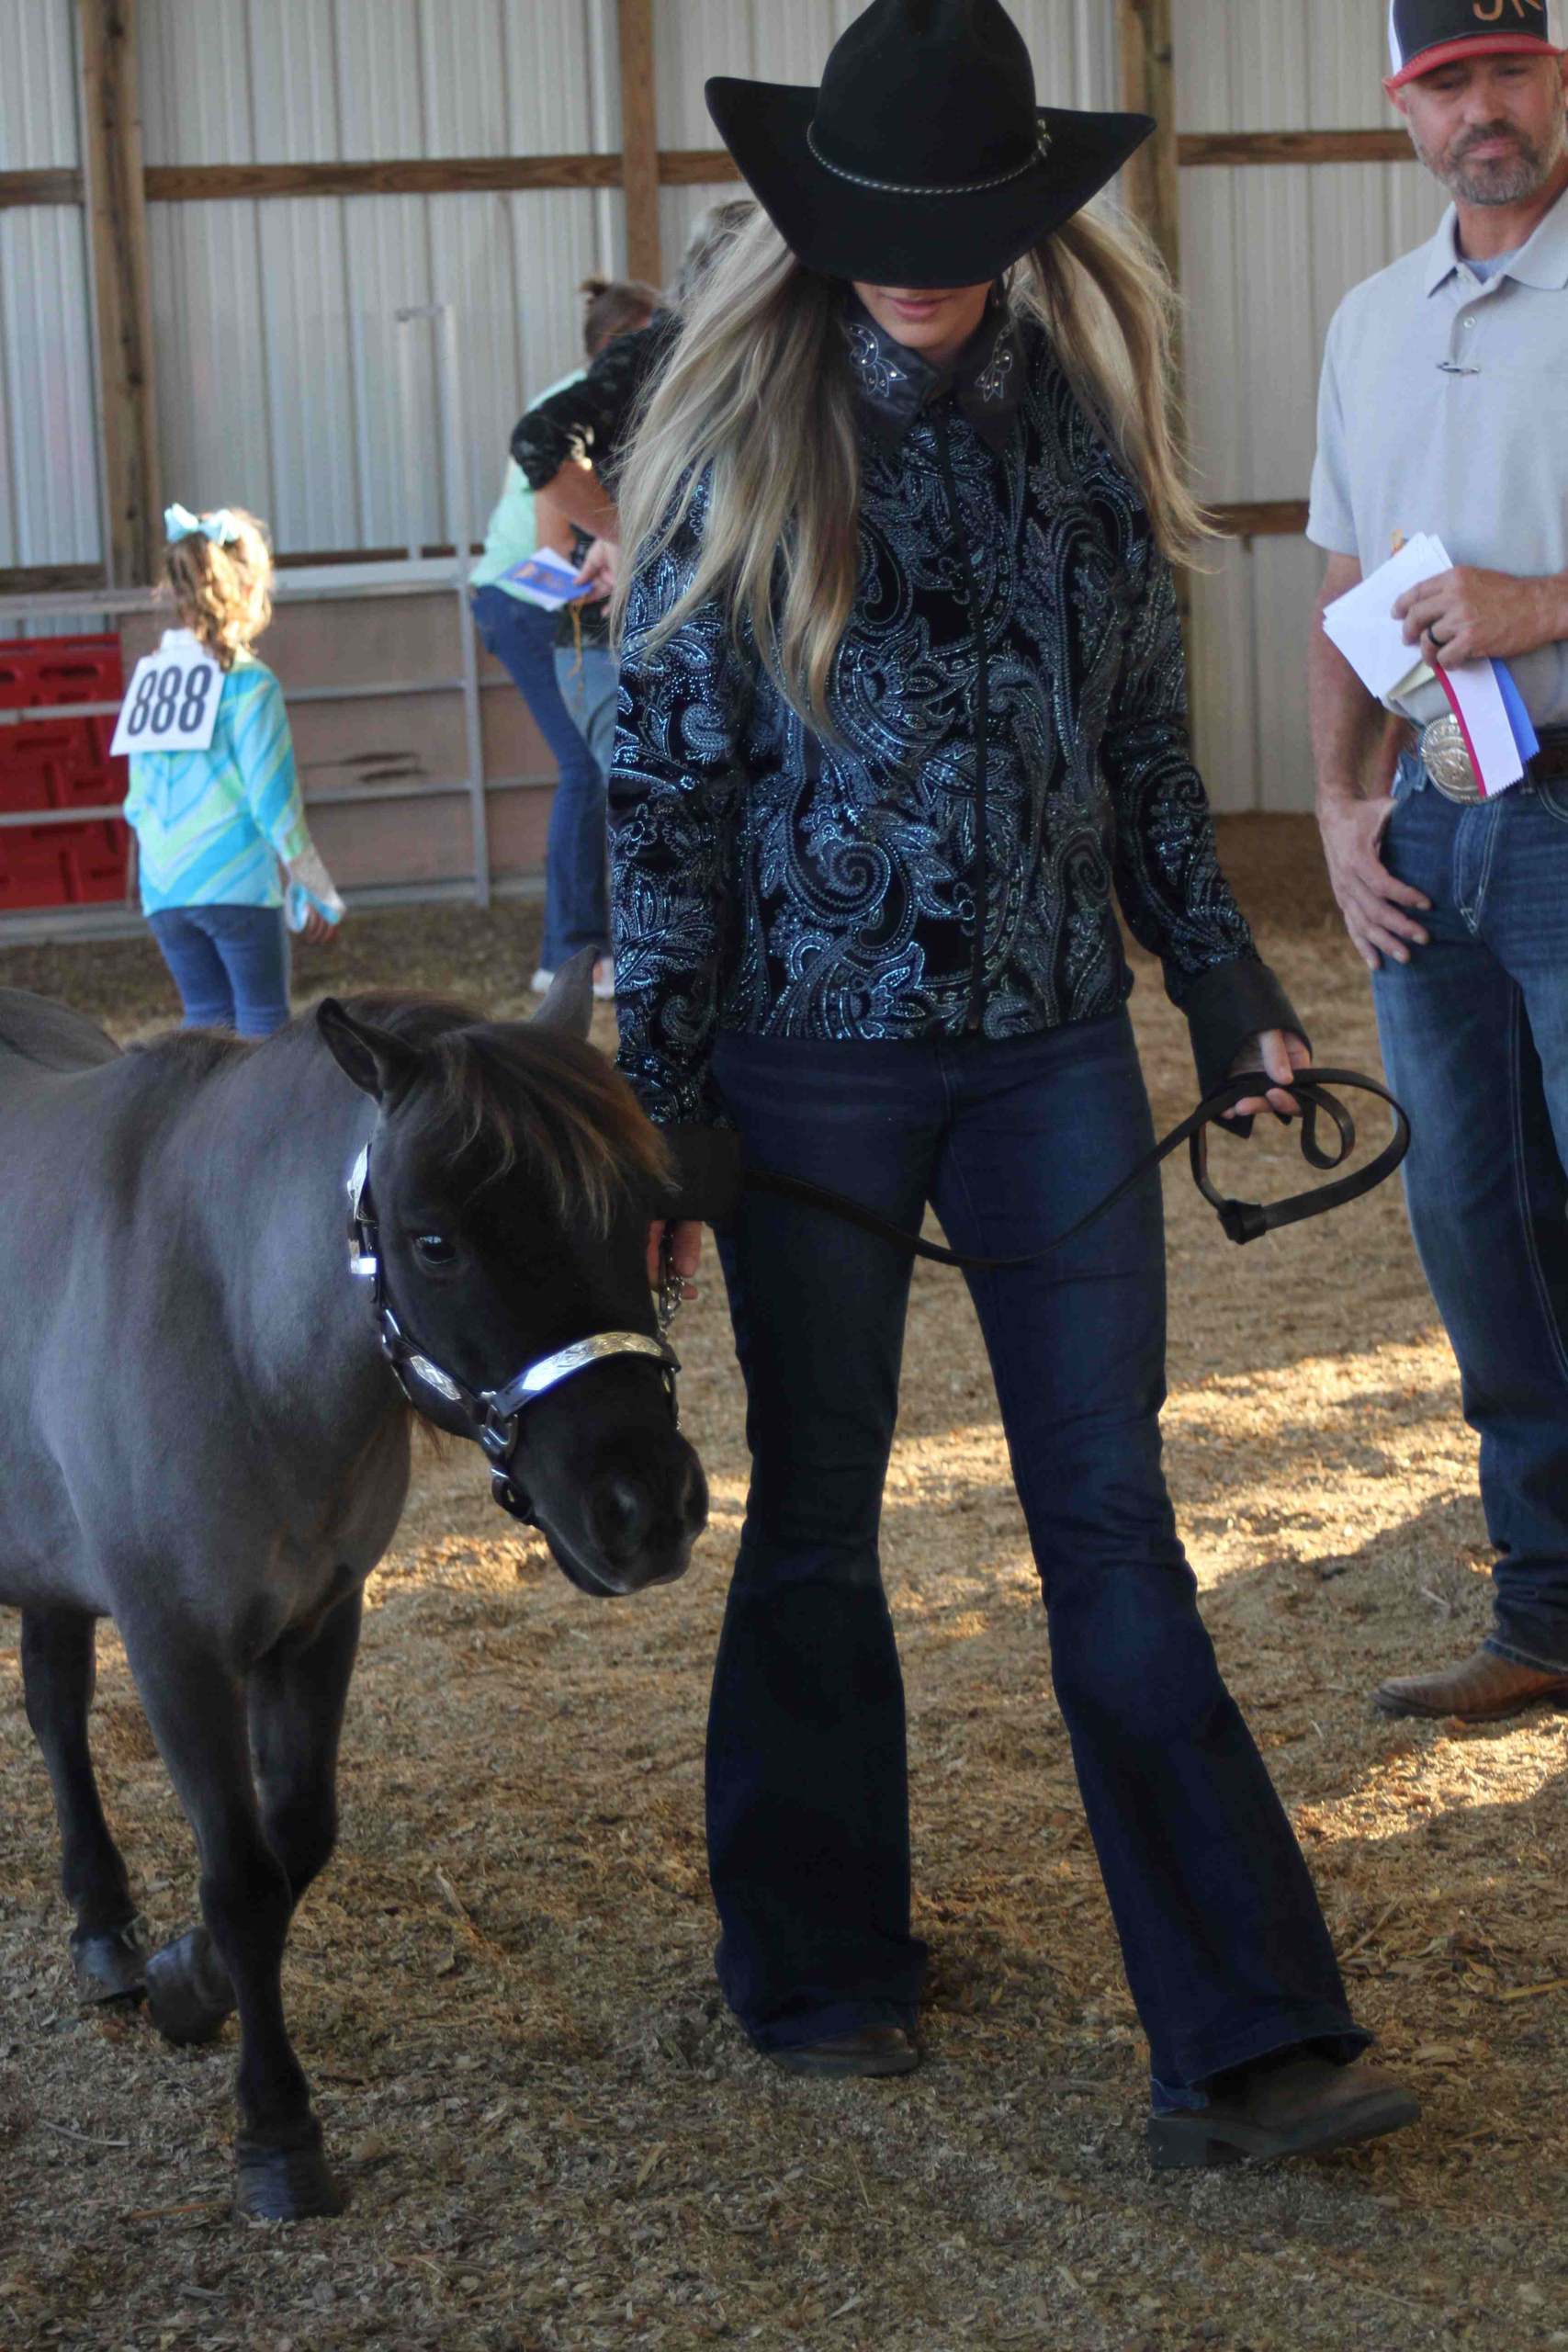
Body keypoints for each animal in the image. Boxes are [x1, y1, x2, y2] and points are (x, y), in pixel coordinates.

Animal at [0, 964, 705, 2211]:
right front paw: (277, 2132)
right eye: (433, 1242)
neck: (229, 1323)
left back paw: (104, 1927)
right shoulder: (175, 1643)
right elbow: (241, 1875)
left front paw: (185, 1979)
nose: (647, 1507)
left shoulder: (320, 1623)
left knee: (52, 1702)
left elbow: (297, 1846)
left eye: (640, 1211)